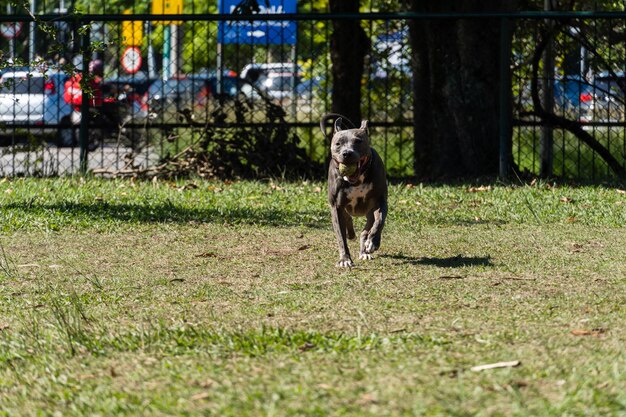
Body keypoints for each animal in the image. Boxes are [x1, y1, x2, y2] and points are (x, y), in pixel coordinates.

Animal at [320, 113, 388, 266]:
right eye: (338, 143)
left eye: (358, 141)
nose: (347, 153)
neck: (356, 180)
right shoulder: (336, 207)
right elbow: (340, 236)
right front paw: (345, 259)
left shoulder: (380, 201)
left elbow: (379, 221)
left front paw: (373, 242)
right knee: (348, 222)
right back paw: (351, 235)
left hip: (369, 213)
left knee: (366, 230)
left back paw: (365, 250)